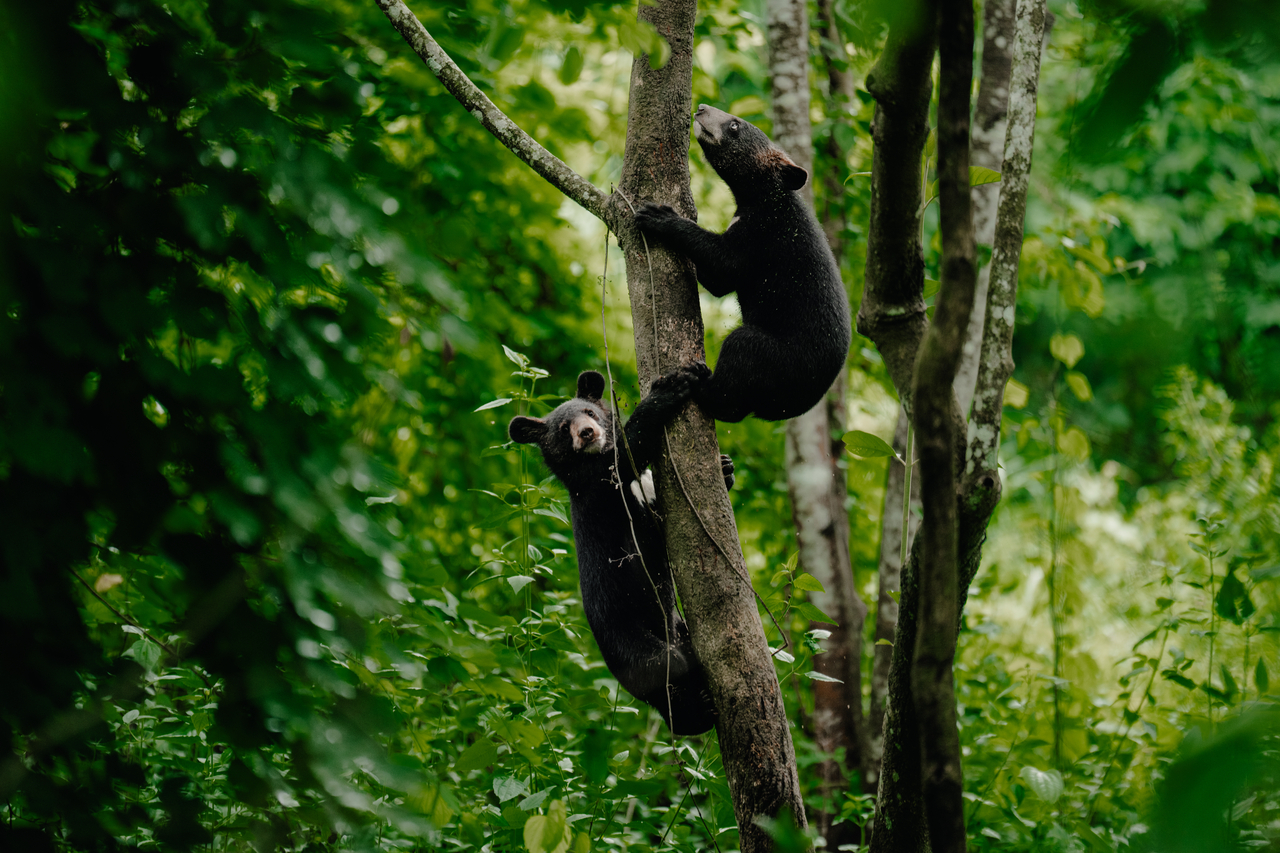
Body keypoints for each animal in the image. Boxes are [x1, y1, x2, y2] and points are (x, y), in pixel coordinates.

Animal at [508, 369, 732, 736]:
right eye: (563, 429)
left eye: (590, 412)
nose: (587, 433)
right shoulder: (598, 487)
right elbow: (626, 455)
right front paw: (668, 390)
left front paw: (726, 467)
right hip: (637, 650)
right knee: (670, 676)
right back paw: (698, 711)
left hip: (677, 628)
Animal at [633, 103, 852, 423]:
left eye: (735, 126)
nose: (701, 108)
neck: (759, 198)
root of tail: (791, 407)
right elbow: (718, 280)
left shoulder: (763, 235)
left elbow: (724, 267)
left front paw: (659, 216)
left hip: (777, 359)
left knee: (738, 361)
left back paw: (698, 383)